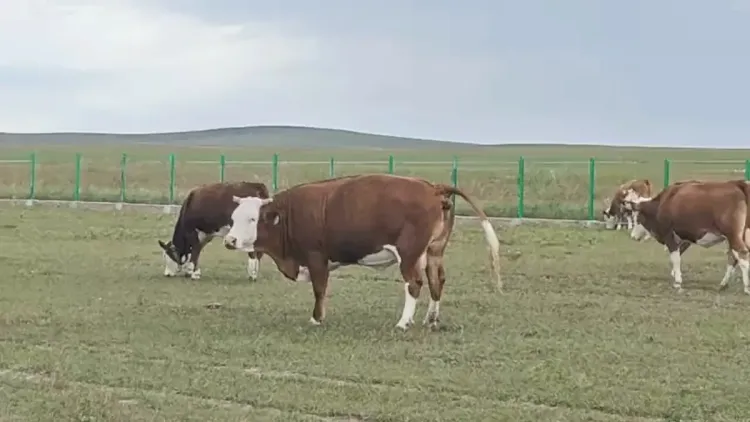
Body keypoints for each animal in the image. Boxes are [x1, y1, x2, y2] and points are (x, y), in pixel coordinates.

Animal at [221, 174, 502, 331]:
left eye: (251, 219)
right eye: (234, 217)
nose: (229, 240)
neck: (290, 214)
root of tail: (432, 187)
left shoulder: (316, 257)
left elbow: (319, 289)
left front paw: (317, 319)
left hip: (409, 254)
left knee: (414, 284)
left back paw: (404, 322)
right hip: (434, 251)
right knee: (437, 281)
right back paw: (431, 319)